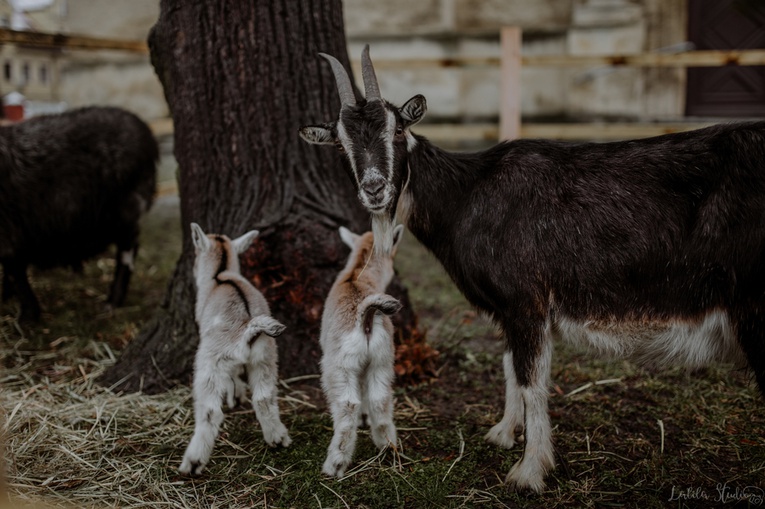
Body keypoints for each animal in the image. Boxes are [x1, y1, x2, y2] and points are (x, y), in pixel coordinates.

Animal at [0, 106, 158, 322]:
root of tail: (145, 131)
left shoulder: (9, 234)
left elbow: (15, 273)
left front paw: (28, 318)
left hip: (126, 209)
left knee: (128, 251)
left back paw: (112, 302)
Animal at [178, 223, 290, 476]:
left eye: (197, 253)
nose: (193, 270)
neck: (220, 274)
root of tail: (247, 328)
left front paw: (234, 397)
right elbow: (238, 374)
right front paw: (237, 397)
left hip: (209, 361)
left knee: (211, 412)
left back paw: (192, 463)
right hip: (266, 358)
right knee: (264, 398)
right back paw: (278, 439)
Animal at [320, 224, 406, 474]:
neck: (355, 276)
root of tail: (365, 316)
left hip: (339, 367)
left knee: (348, 405)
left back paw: (335, 464)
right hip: (383, 360)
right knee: (380, 399)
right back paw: (387, 447)